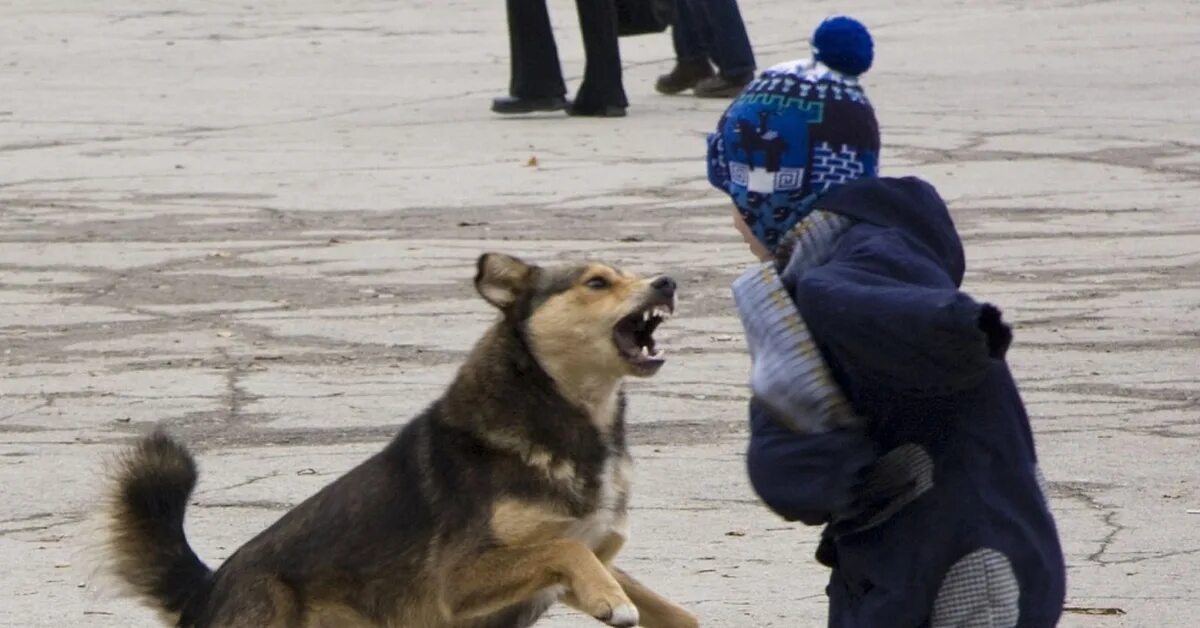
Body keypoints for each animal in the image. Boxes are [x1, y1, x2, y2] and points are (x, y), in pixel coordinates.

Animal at [110, 253, 700, 628]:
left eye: (629, 272)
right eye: (597, 283)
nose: (667, 282)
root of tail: (207, 590)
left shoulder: (586, 557)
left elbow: (672, 608)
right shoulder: (458, 580)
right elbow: (565, 546)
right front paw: (610, 601)